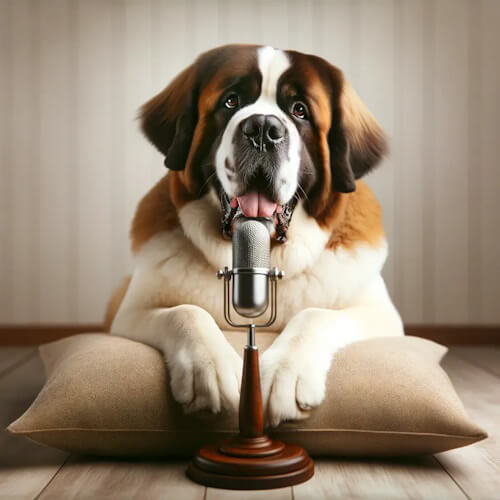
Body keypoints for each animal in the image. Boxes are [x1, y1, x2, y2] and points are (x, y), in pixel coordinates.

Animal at [107, 44, 404, 426]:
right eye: (231, 101)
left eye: (300, 110)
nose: (263, 128)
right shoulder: (128, 313)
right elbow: (185, 311)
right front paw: (210, 370)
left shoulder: (381, 314)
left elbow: (316, 314)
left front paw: (284, 375)